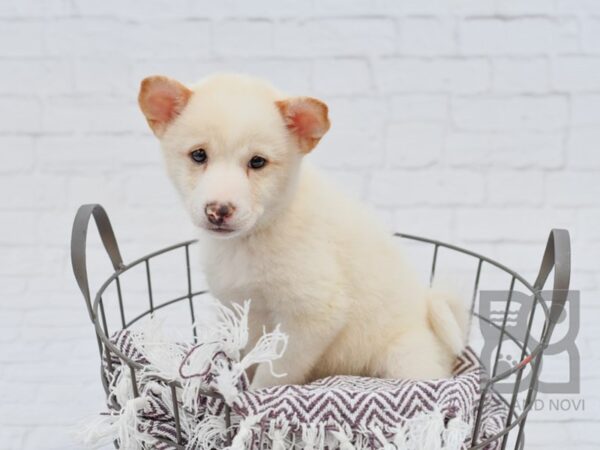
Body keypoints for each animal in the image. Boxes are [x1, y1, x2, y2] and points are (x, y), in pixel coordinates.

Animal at [138, 74, 466, 386]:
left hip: (406, 358)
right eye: (199, 155)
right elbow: (250, 359)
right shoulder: (241, 311)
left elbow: (272, 374)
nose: (218, 210)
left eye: (257, 162)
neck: (251, 240)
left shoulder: (312, 316)